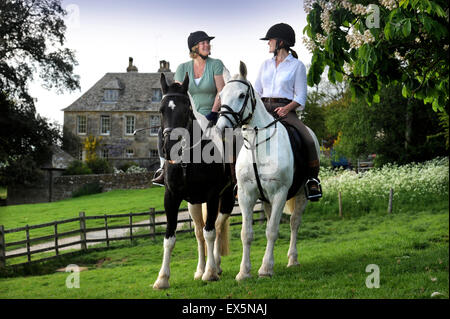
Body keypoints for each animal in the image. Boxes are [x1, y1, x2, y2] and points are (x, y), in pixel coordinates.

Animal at [215, 62, 318, 280]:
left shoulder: (279, 193)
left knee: (294, 223)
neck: (257, 144)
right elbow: (247, 233)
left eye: (241, 95)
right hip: (267, 200)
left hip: (301, 194)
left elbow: (272, 231)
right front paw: (244, 272)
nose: (221, 128)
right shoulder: (246, 194)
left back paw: (292, 260)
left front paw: (265, 269)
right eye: (221, 95)